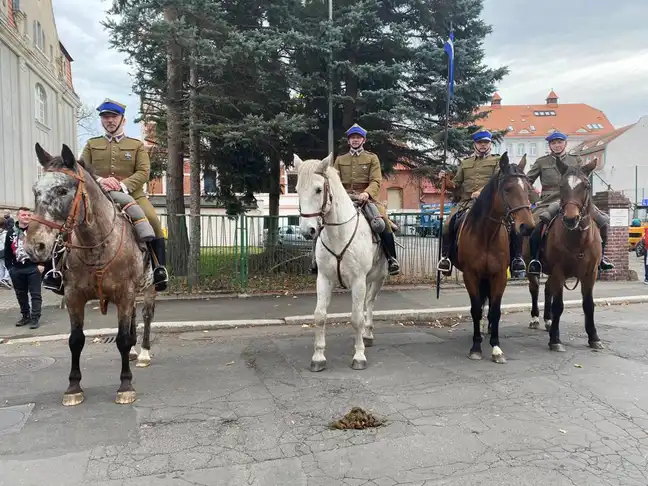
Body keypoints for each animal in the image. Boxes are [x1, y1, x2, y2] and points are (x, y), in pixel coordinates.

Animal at [24, 143, 157, 406]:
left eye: (62, 189)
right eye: (36, 190)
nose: (35, 246)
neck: (97, 244)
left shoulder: (124, 293)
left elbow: (121, 339)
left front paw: (125, 385)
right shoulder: (74, 296)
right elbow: (76, 340)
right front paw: (73, 387)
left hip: (148, 288)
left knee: (146, 316)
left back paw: (144, 353)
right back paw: (135, 352)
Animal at [294, 154, 390, 370]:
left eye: (318, 189)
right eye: (296, 189)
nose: (307, 231)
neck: (338, 234)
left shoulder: (358, 280)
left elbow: (356, 318)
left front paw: (359, 356)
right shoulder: (323, 279)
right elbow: (320, 316)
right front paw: (318, 357)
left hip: (377, 279)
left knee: (369, 303)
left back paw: (368, 335)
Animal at [520, 158, 604, 352]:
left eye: (587, 185)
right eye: (561, 185)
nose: (571, 219)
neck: (578, 240)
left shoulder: (590, 274)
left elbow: (589, 305)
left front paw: (594, 337)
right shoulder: (559, 271)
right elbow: (558, 305)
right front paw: (555, 340)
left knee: (547, 289)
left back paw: (548, 320)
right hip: (531, 267)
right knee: (535, 288)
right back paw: (536, 318)